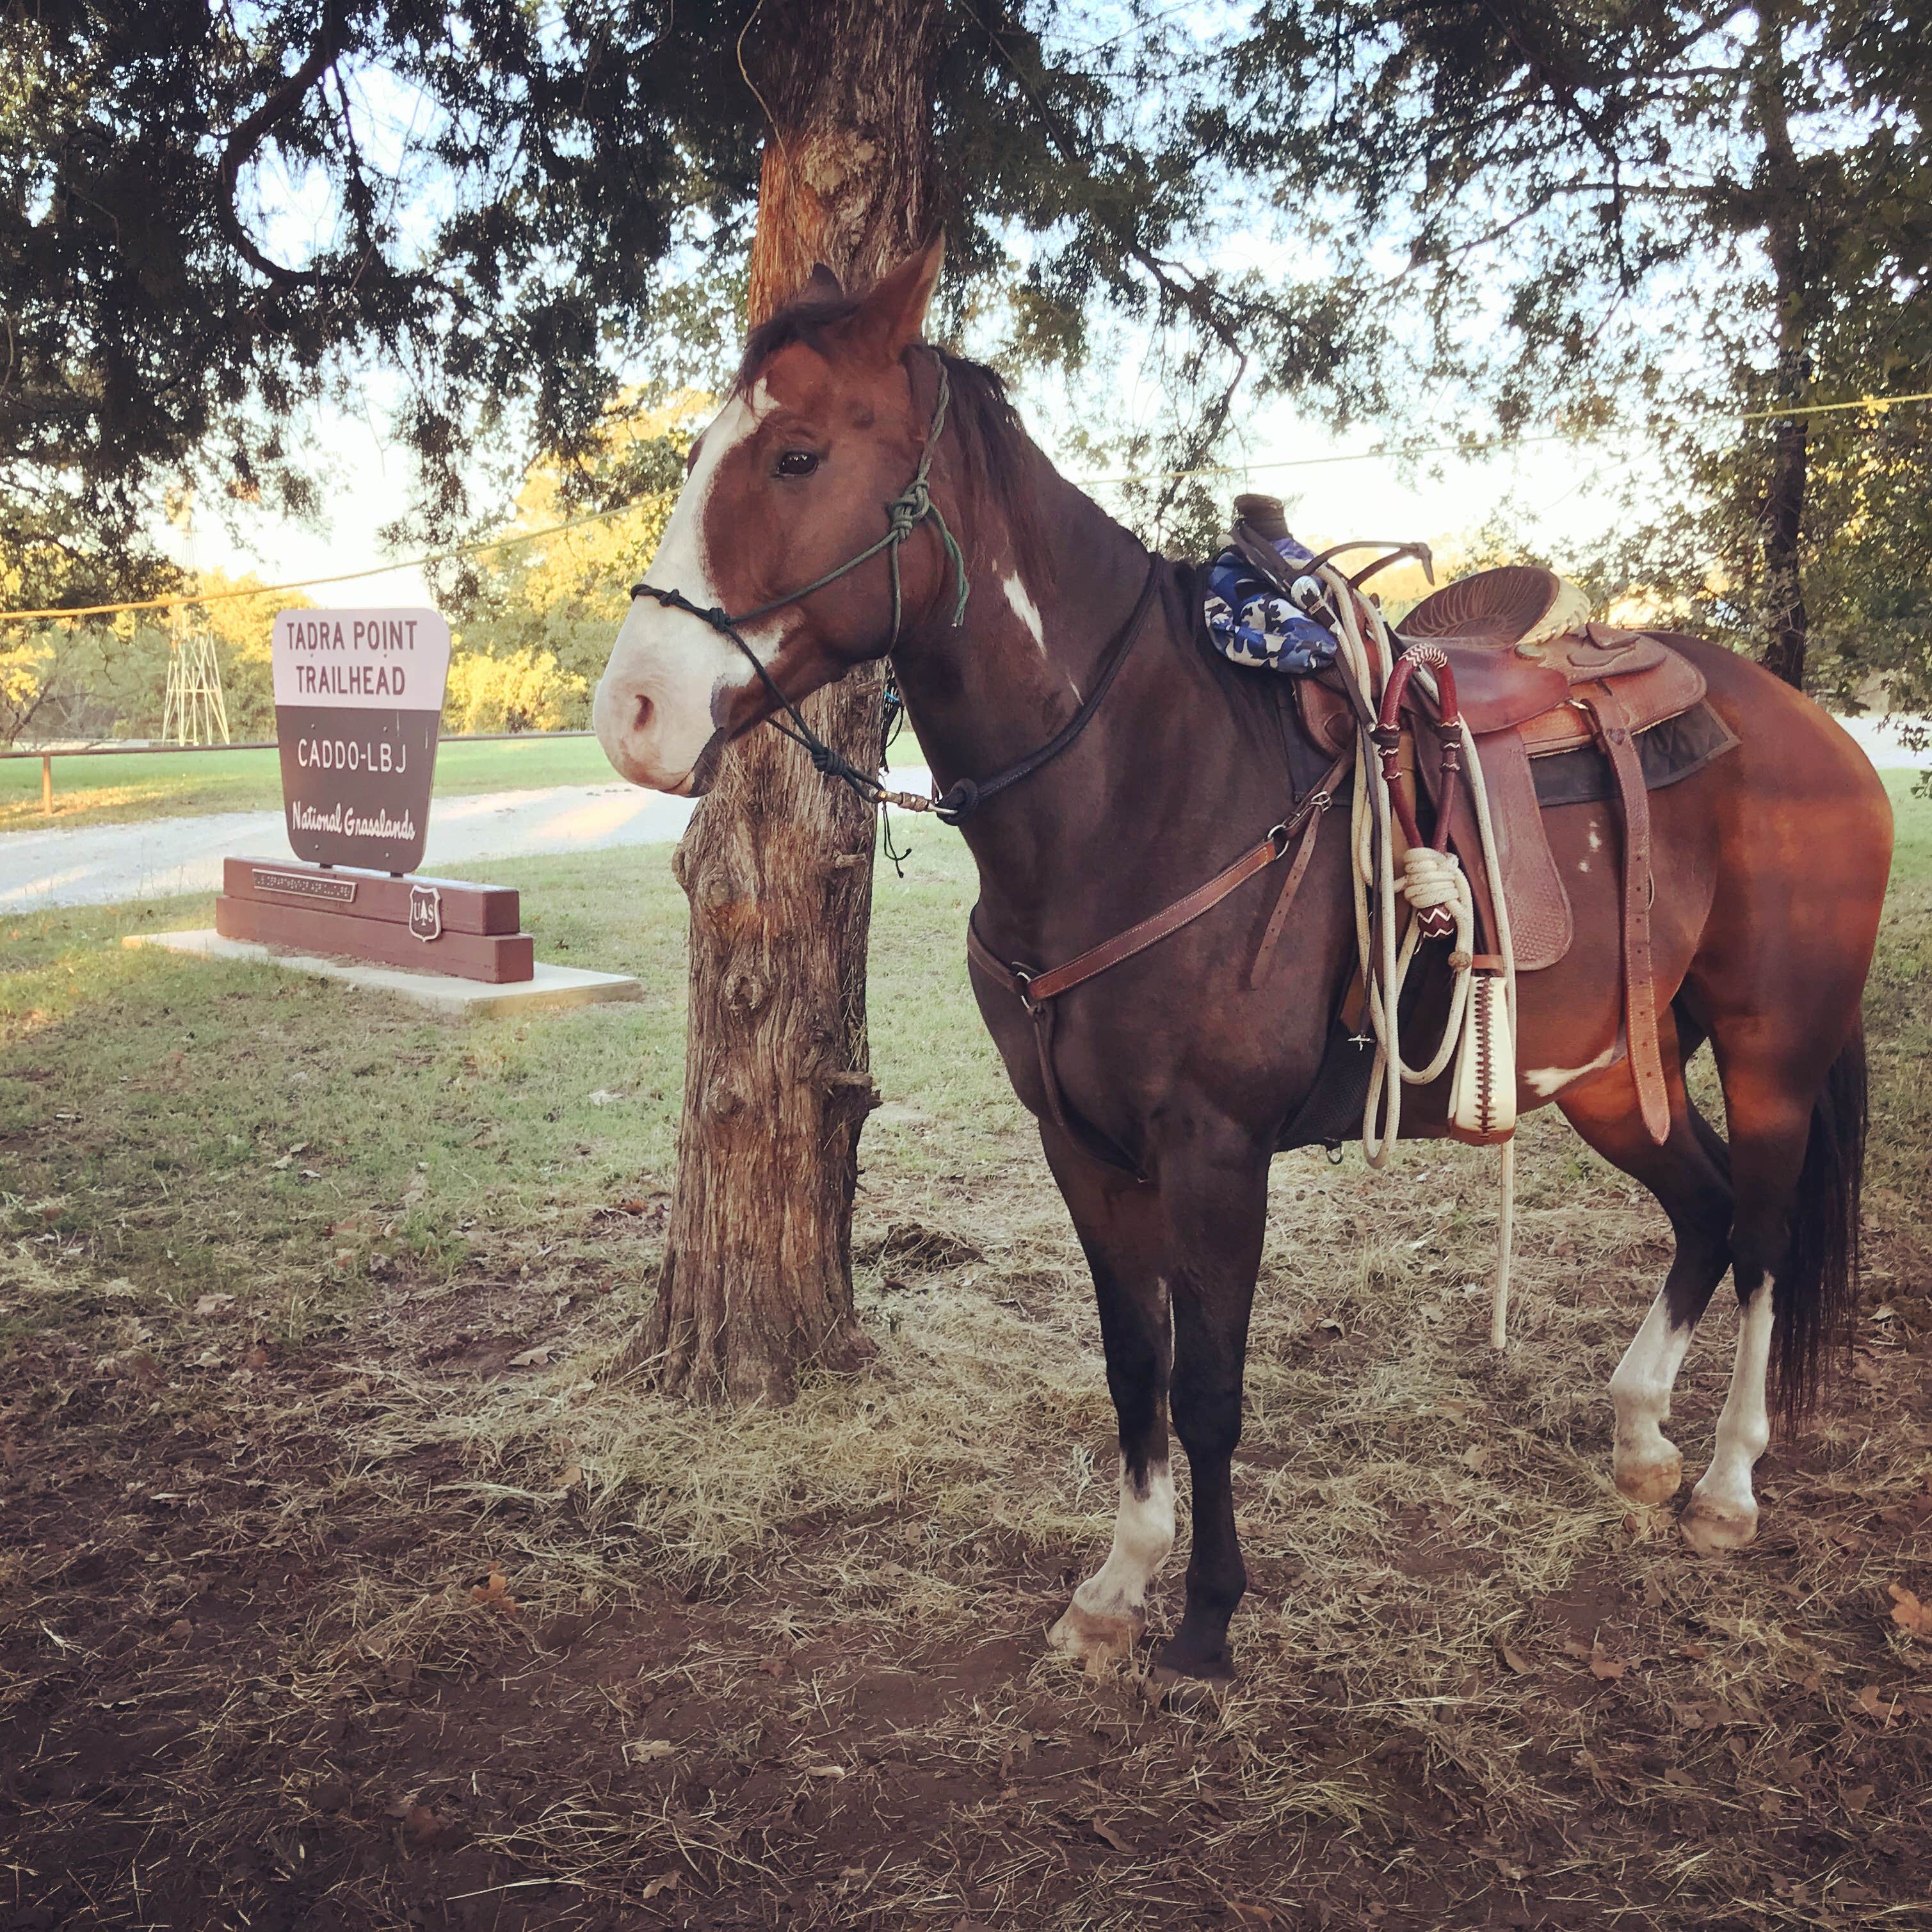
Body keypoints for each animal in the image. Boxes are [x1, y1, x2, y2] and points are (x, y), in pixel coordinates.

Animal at [593, 238, 1893, 1688]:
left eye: (799, 456)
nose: (632, 710)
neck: (1137, 786)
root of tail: (1813, 729)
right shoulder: (1083, 1147)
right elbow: (1133, 1370)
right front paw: (1116, 1587)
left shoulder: (1214, 1150)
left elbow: (1209, 1386)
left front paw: (1209, 1611)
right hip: (1612, 1065)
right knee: (1706, 1210)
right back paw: (1638, 1433)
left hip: (1774, 1049)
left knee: (1766, 1234)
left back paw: (1726, 1484)